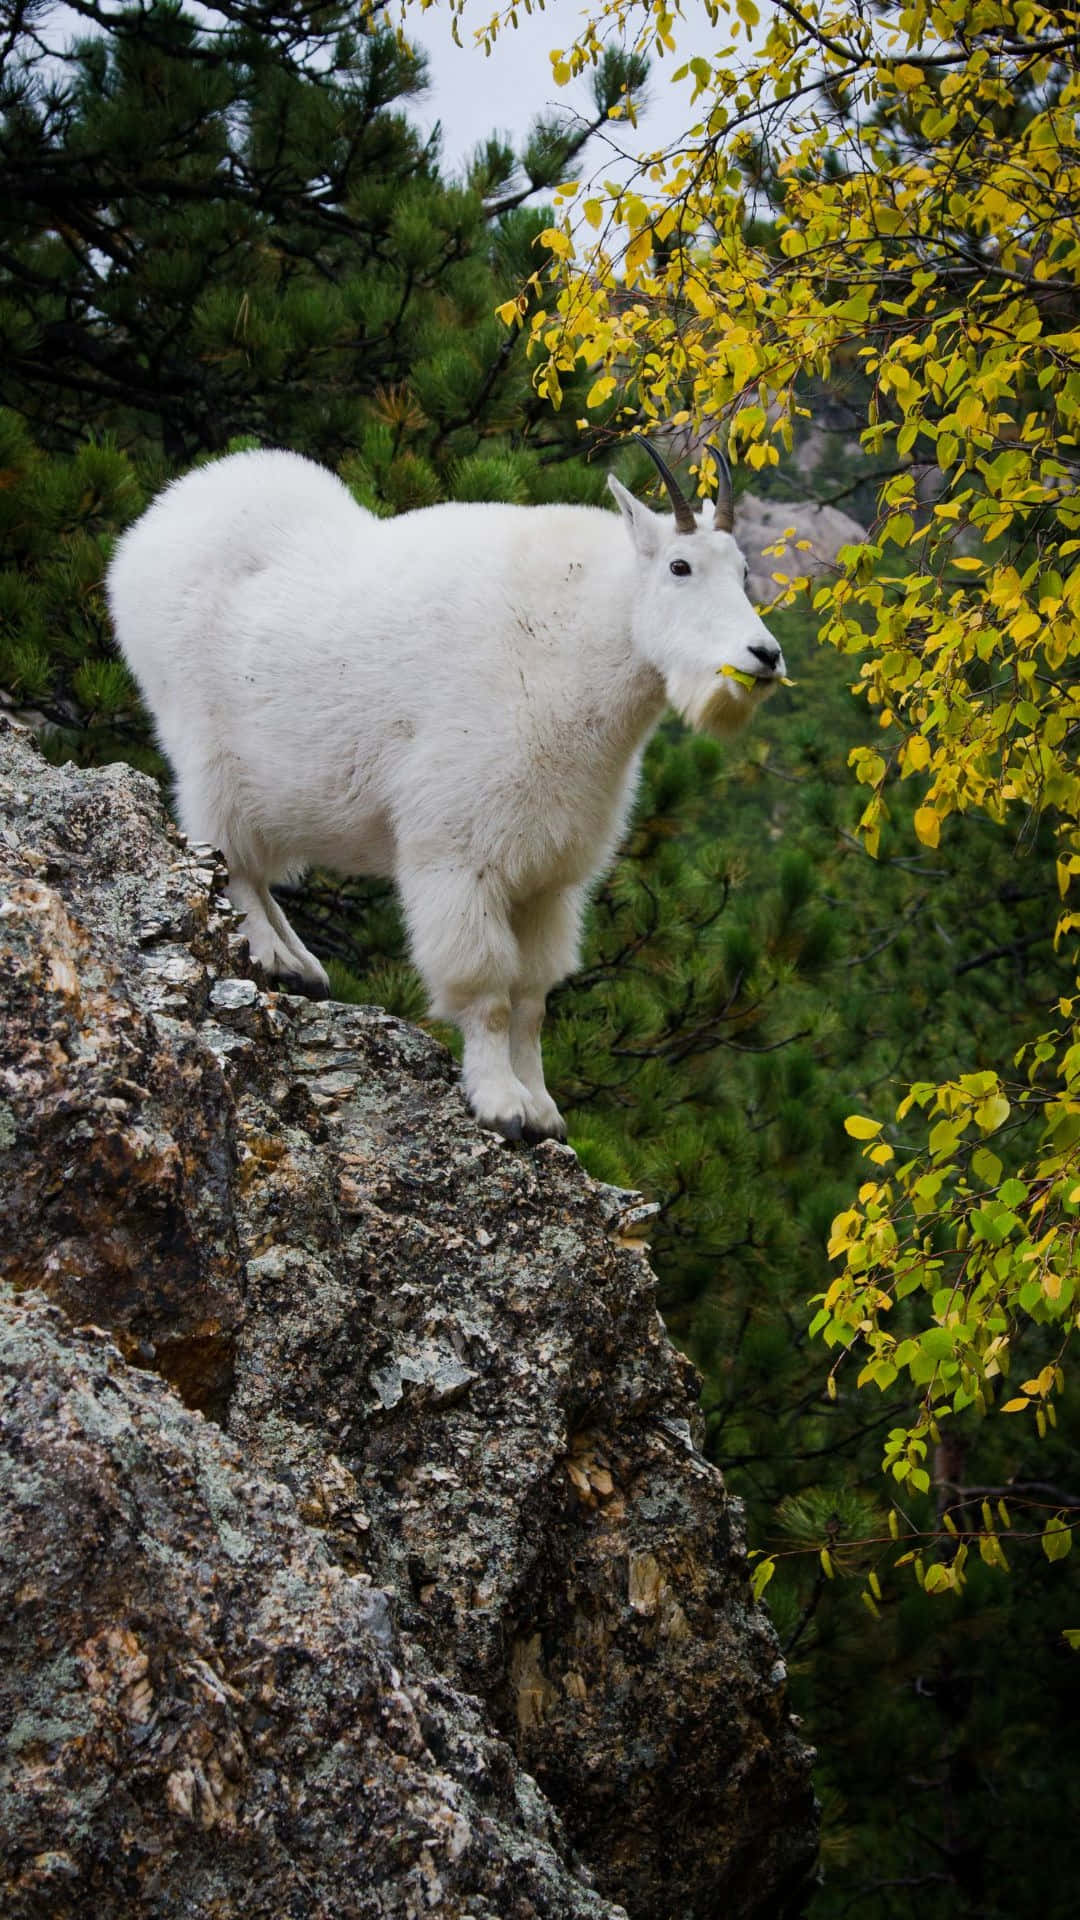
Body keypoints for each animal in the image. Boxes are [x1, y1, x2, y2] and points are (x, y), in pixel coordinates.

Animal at [107, 439, 780, 1136]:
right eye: (679, 566)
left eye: (743, 570)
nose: (764, 656)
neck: (573, 647)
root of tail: (153, 523)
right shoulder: (460, 853)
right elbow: (487, 993)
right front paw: (502, 1105)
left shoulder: (549, 878)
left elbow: (532, 998)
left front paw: (544, 1110)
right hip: (203, 745)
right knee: (227, 857)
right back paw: (271, 955)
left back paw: (305, 967)